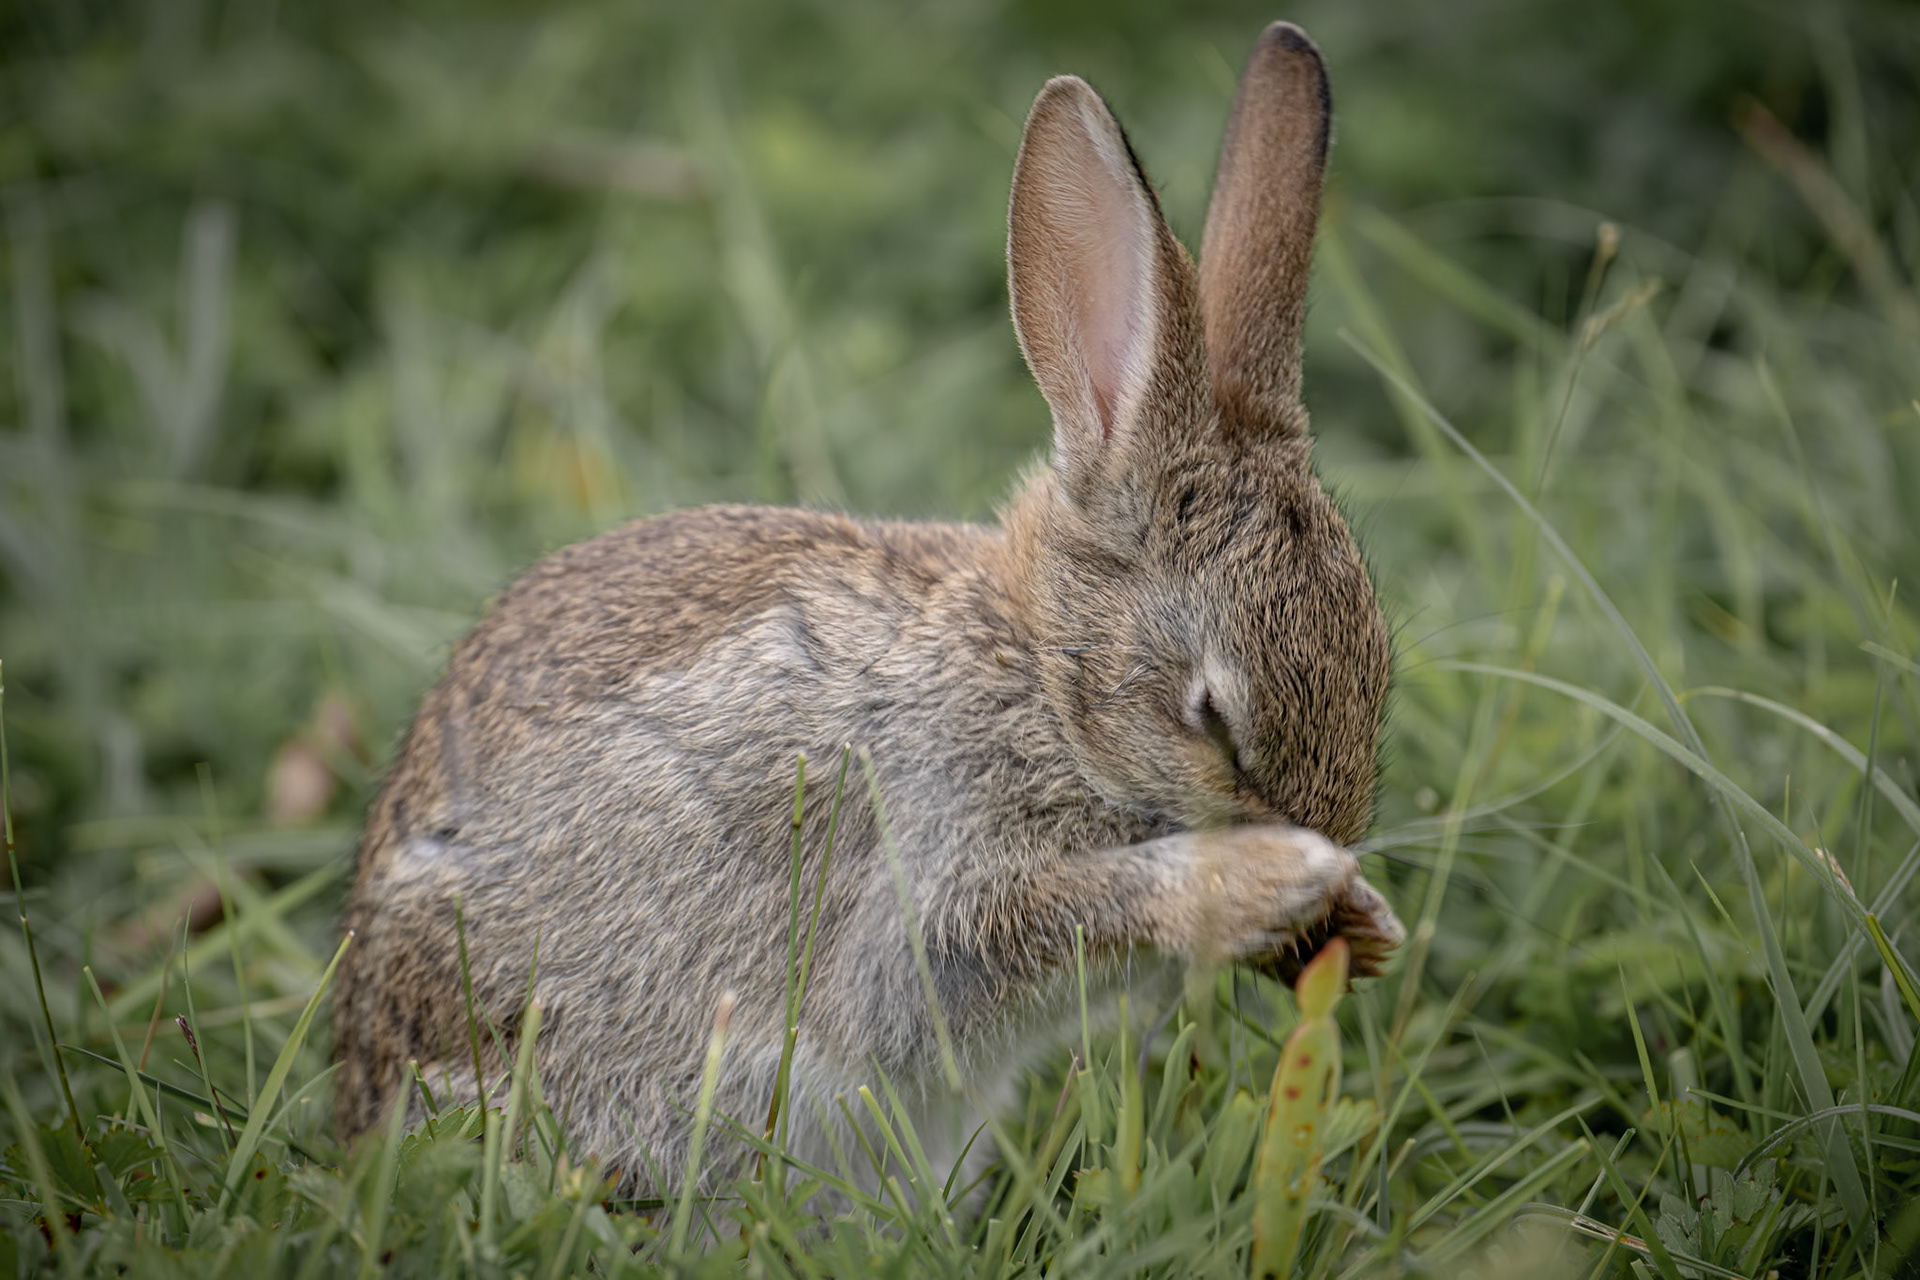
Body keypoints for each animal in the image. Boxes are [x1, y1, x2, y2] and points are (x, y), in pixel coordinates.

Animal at [333, 20, 1402, 1198]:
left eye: (1383, 671)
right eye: (1210, 720)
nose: (1331, 841)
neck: (1040, 687)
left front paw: (1364, 924)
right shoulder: (928, 867)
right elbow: (998, 935)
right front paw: (1278, 879)